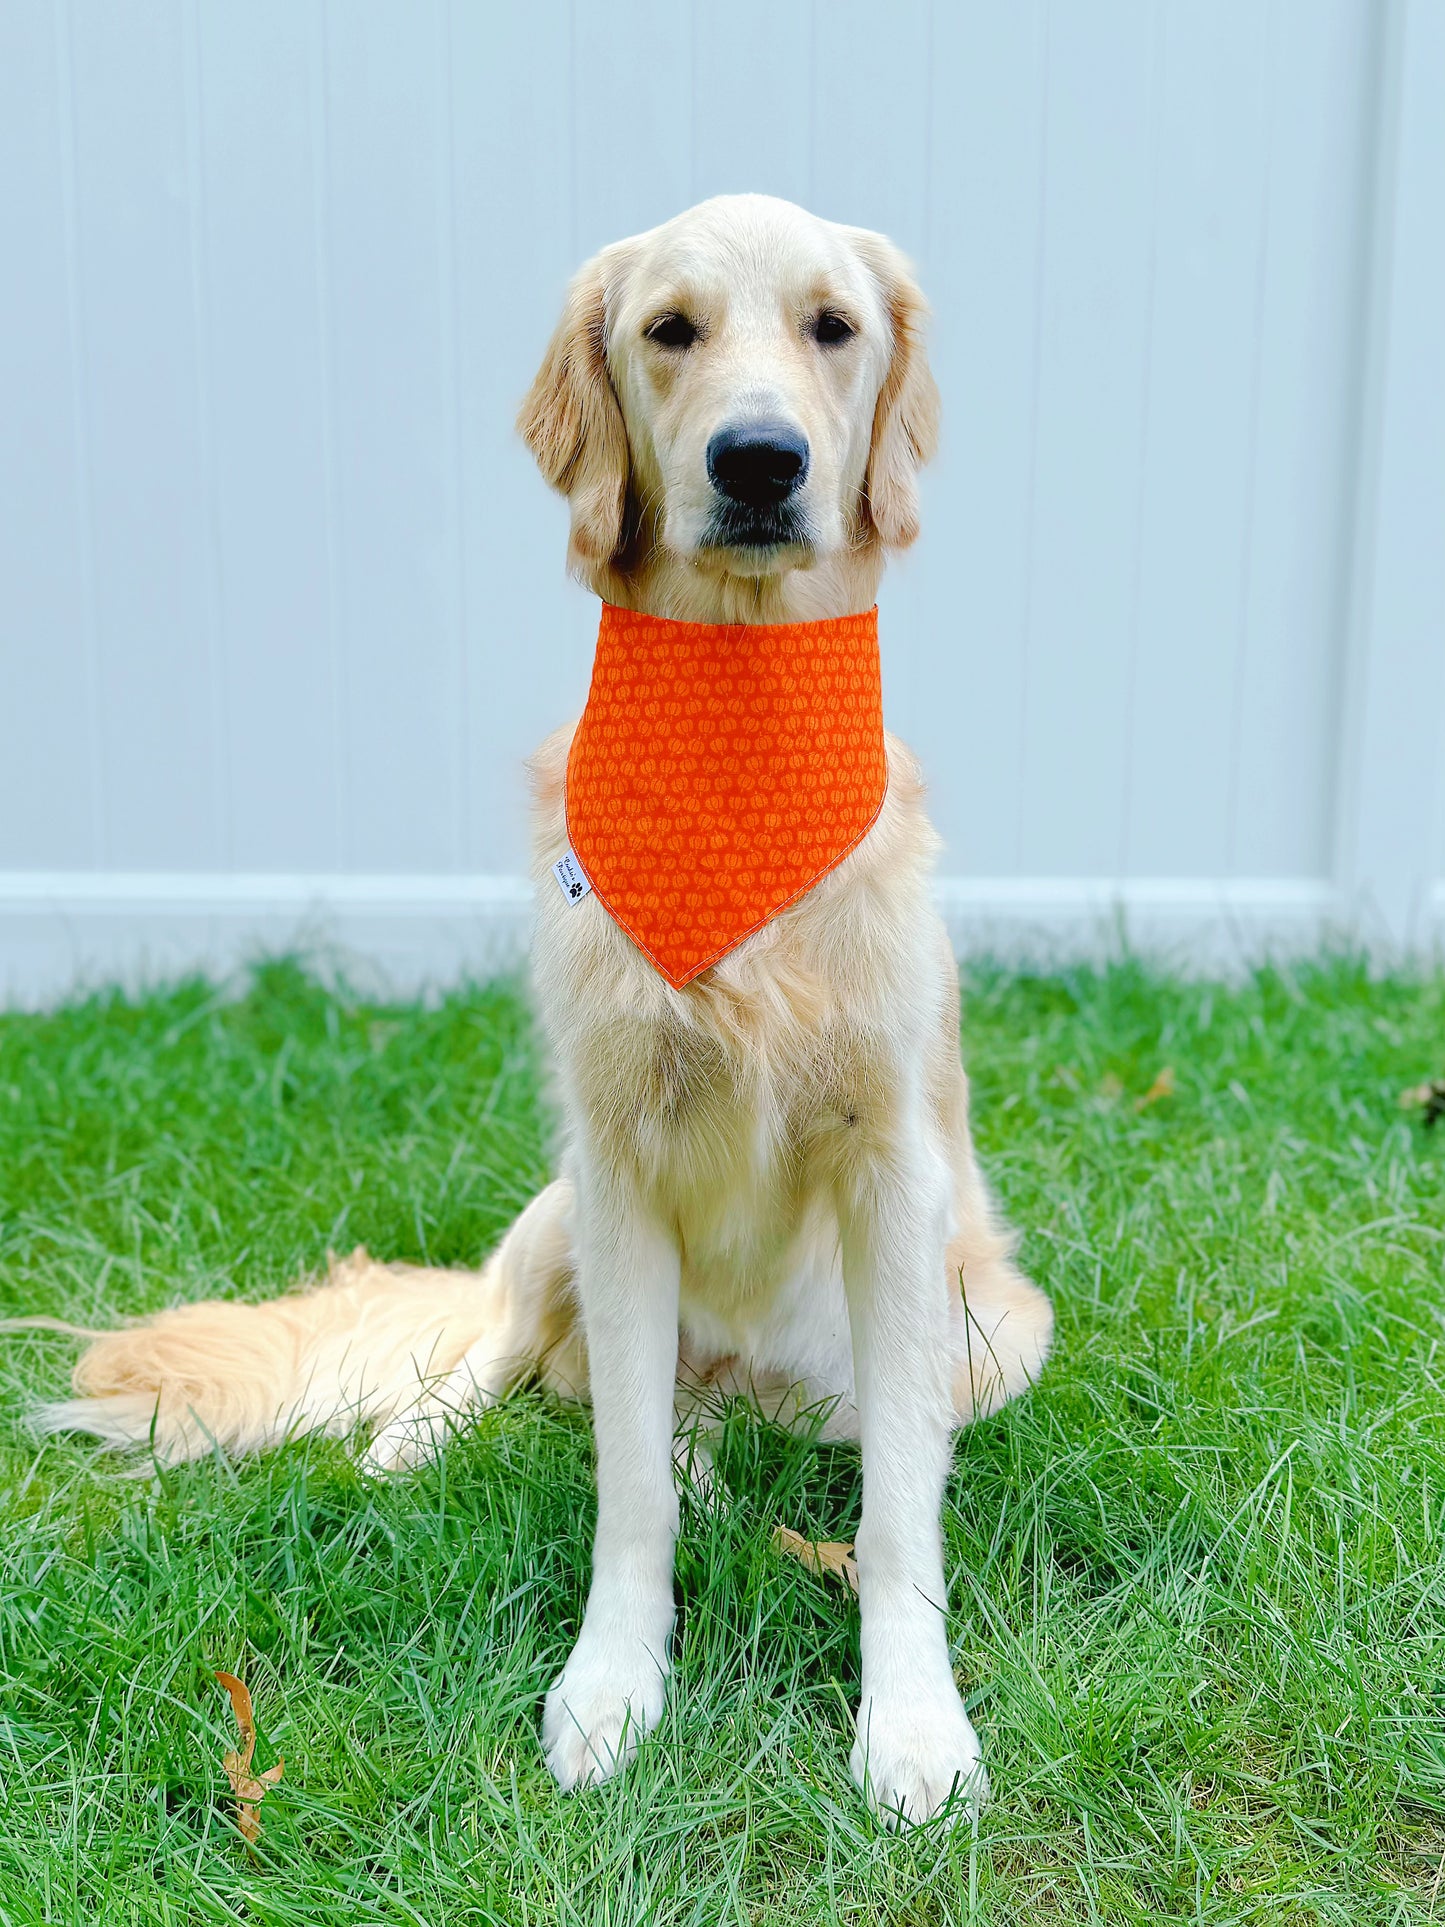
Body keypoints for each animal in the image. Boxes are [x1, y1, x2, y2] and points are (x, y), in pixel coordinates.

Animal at [33, 199, 1055, 1834]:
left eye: (831, 326)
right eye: (670, 329)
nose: (757, 462)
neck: (732, 745)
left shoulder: (895, 1172)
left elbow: (899, 1504)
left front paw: (910, 1725)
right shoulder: (620, 1165)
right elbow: (622, 1485)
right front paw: (612, 1689)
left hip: (995, 1319)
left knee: (757, 1425)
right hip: (557, 1210)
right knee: (510, 1358)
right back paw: (412, 1434)